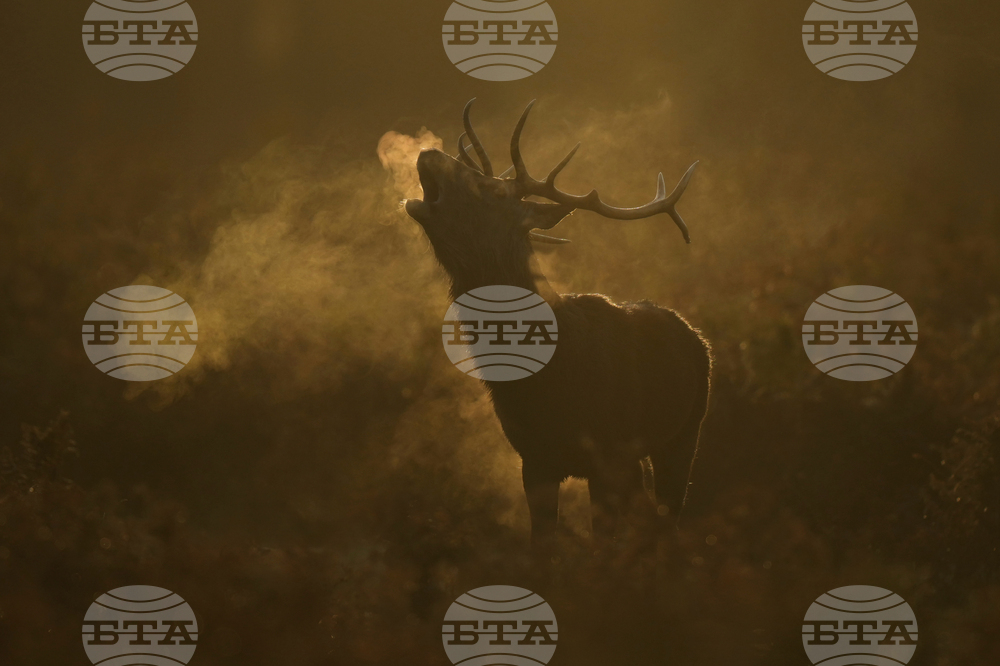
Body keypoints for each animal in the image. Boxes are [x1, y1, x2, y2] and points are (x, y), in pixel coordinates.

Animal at [403, 99, 711, 550]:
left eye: (494, 190)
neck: (550, 381)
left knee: (667, 518)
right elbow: (542, 550)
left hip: (685, 432)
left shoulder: (607, 455)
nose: (428, 152)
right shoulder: (534, 459)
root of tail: (696, 336)